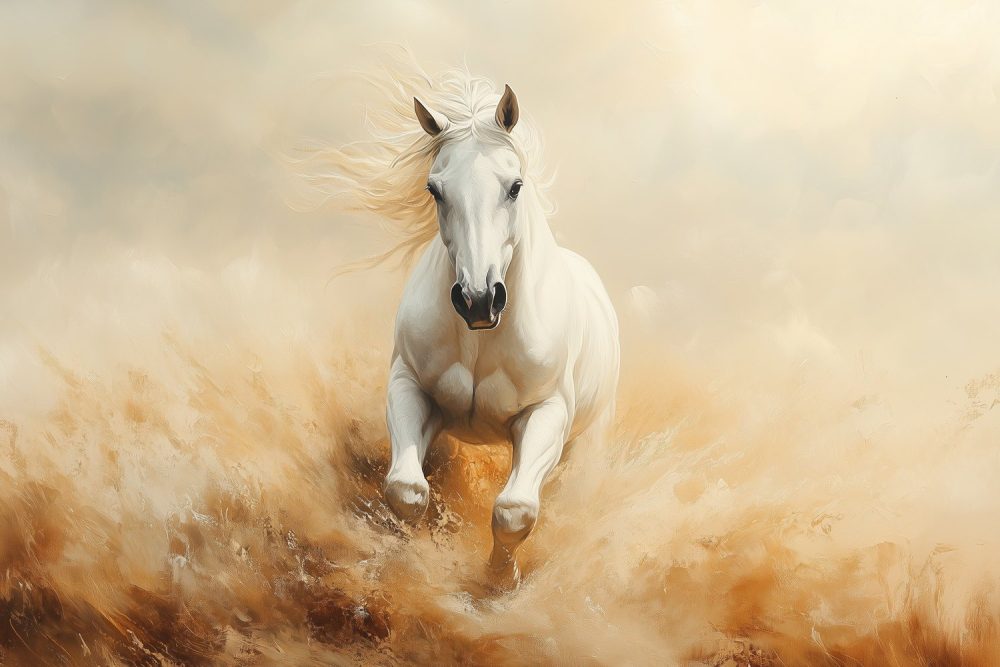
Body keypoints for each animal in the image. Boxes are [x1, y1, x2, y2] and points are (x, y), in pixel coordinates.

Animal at [375, 75, 621, 585]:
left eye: (515, 186)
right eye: (434, 189)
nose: (478, 299)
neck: (480, 339)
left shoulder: (546, 412)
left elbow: (514, 510)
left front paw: (499, 582)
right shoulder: (409, 386)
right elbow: (406, 490)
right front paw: (404, 565)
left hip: (584, 447)